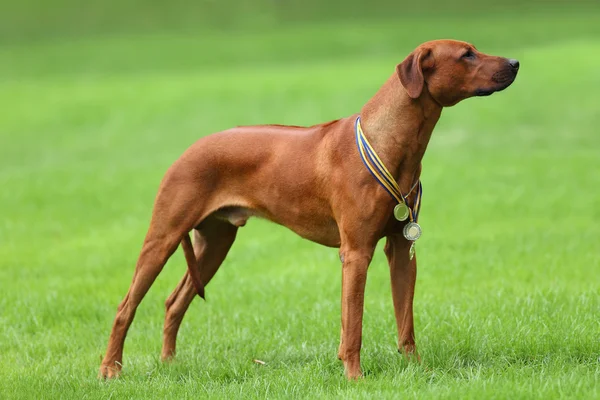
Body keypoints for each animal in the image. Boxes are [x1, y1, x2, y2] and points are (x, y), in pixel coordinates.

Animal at [99, 39, 520, 380]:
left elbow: (406, 322)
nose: (516, 62)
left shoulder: (402, 249)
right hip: (164, 236)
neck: (388, 141)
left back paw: (169, 364)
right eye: (467, 55)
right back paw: (110, 370)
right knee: (125, 306)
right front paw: (354, 377)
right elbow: (354, 324)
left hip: (215, 244)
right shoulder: (356, 252)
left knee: (174, 302)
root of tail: (190, 147)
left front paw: (416, 370)